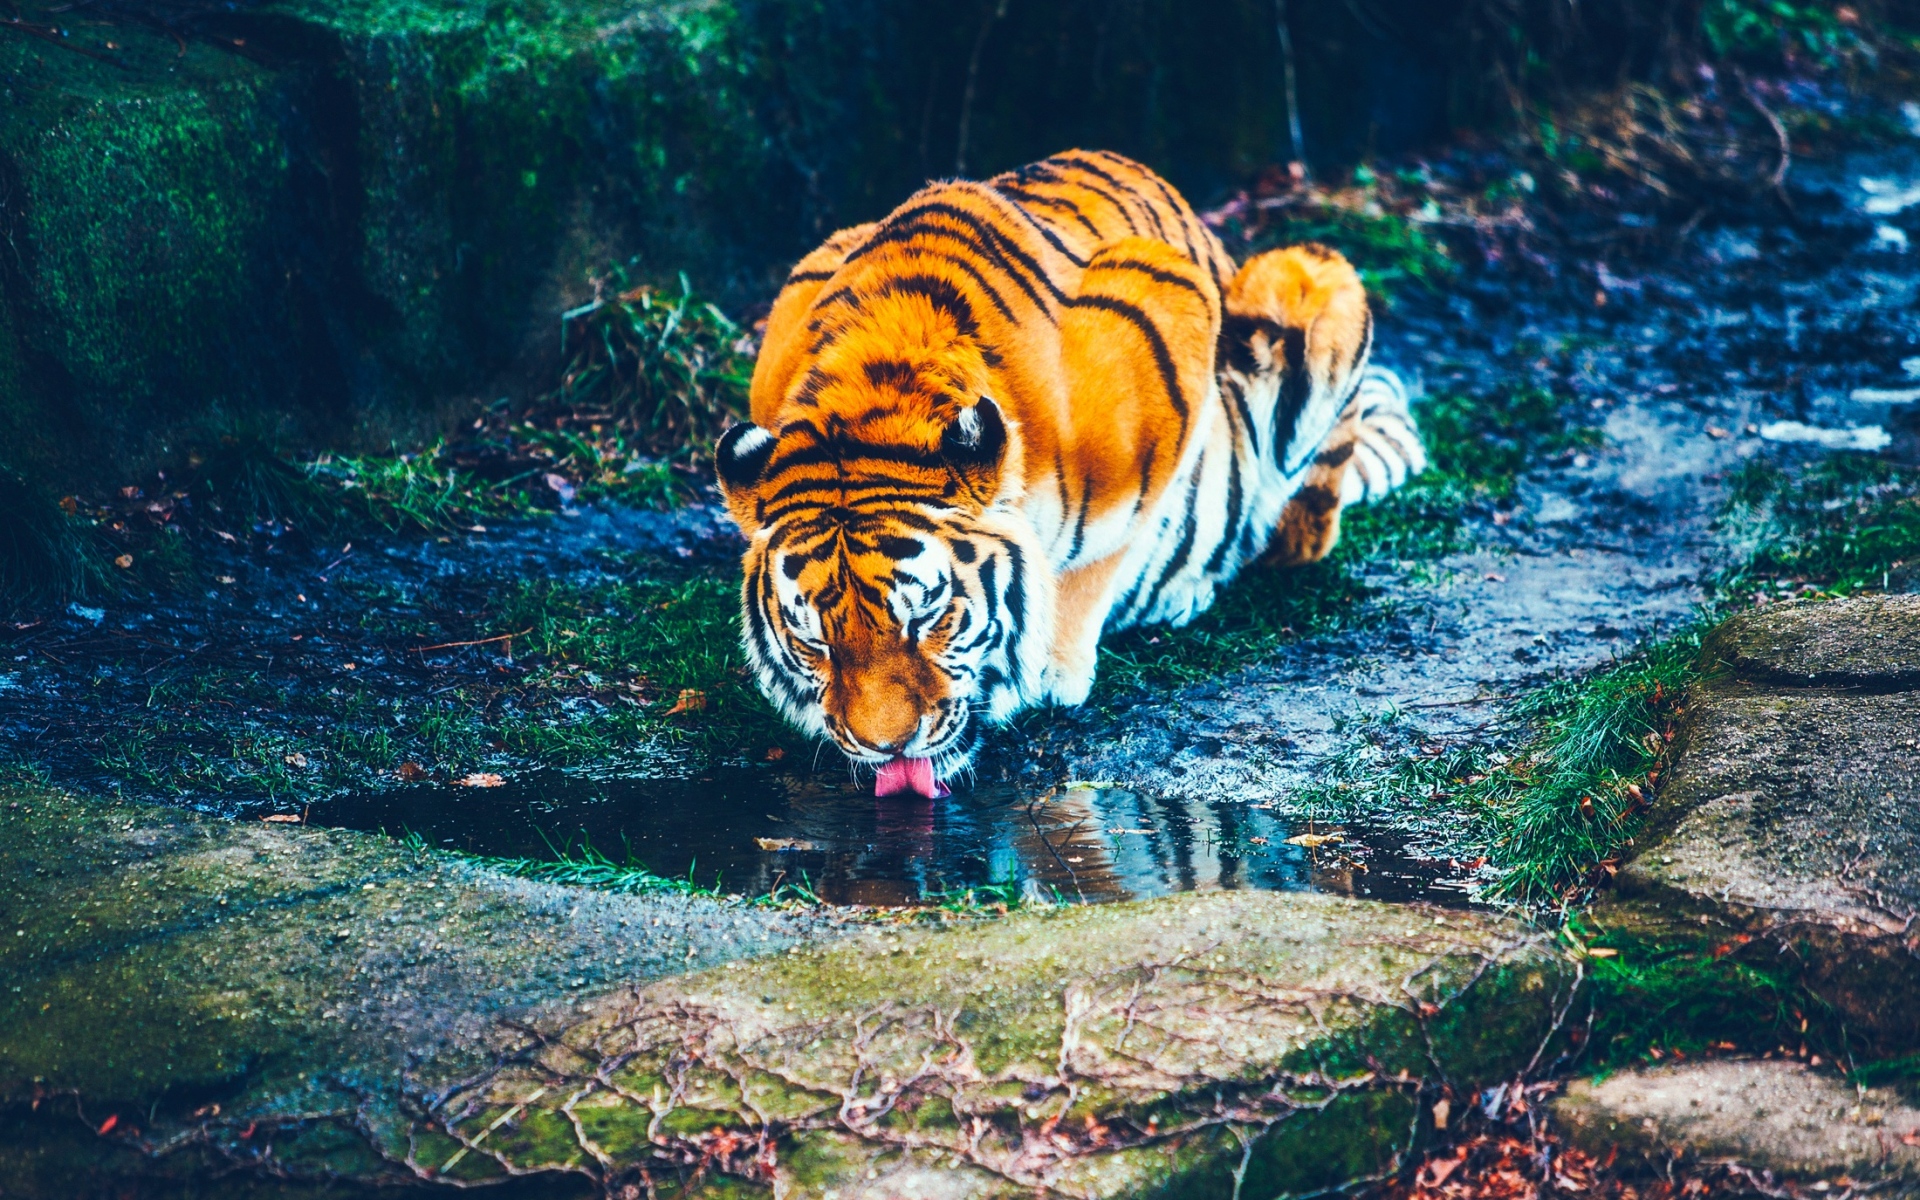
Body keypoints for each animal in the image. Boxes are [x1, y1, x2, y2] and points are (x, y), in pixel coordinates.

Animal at [715, 150, 1424, 799]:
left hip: (1306, 277)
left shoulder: (1171, 317)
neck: (875, 389)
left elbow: (1105, 550)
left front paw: (1055, 669)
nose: (887, 746)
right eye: (814, 641)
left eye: (928, 618)